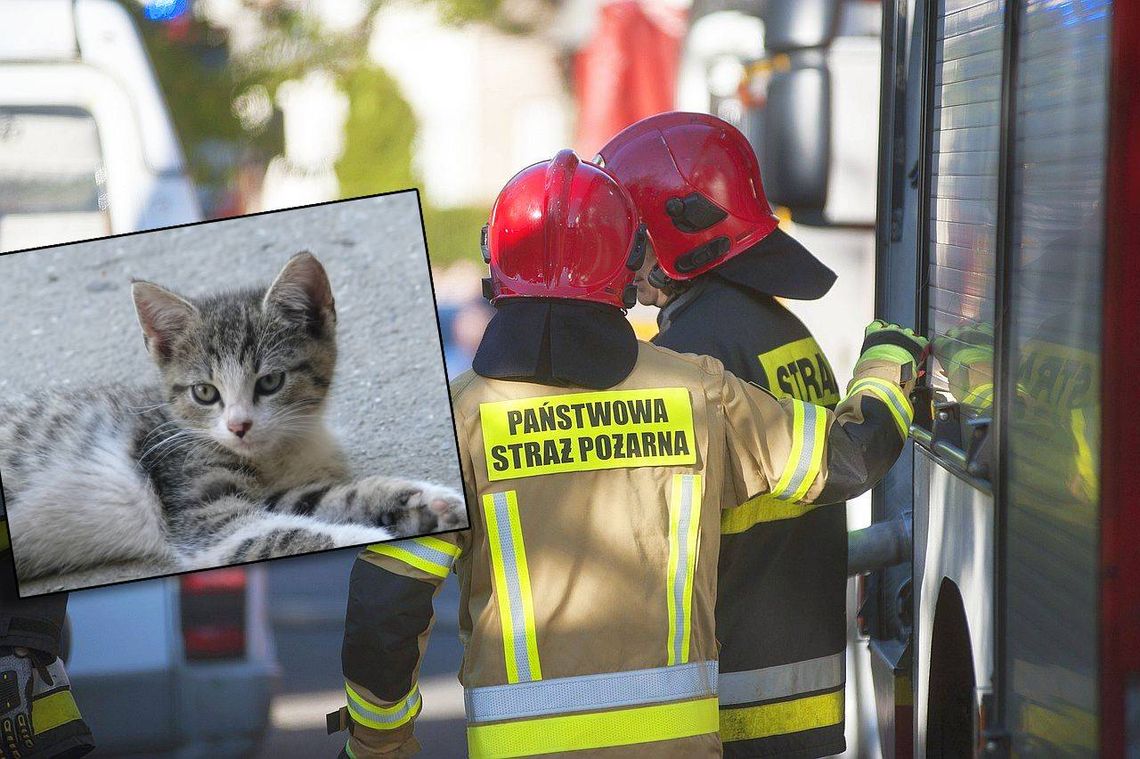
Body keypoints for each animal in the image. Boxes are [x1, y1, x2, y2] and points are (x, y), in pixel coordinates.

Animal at [0, 248, 465, 578]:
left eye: (270, 382)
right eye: (205, 392)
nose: (239, 425)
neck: (276, 453)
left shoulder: (282, 493)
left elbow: (336, 496)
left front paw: (427, 501)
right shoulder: (203, 514)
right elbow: (281, 532)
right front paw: (367, 538)